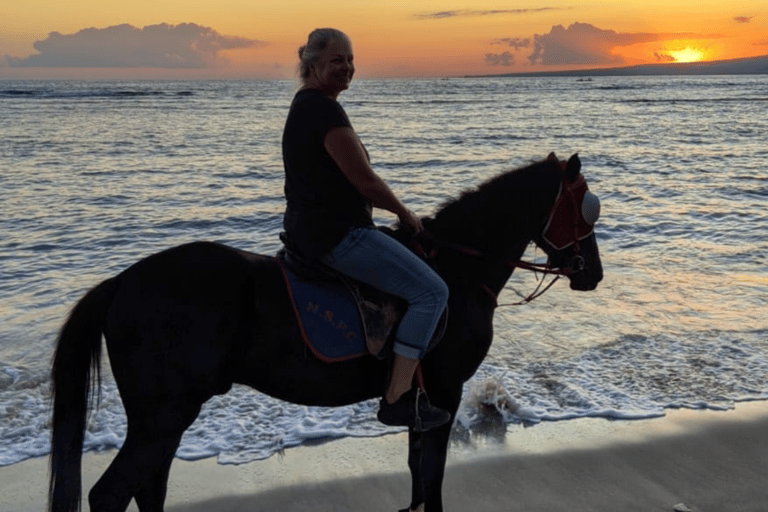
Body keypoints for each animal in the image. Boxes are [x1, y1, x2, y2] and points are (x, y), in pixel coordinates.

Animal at [49, 153, 608, 512]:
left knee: (148, 488)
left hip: (161, 420)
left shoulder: (422, 401)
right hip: (162, 417)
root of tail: (122, 282)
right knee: (111, 494)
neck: (457, 267)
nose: (594, 273)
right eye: (584, 207)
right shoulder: (445, 392)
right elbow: (432, 477)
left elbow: (417, 472)